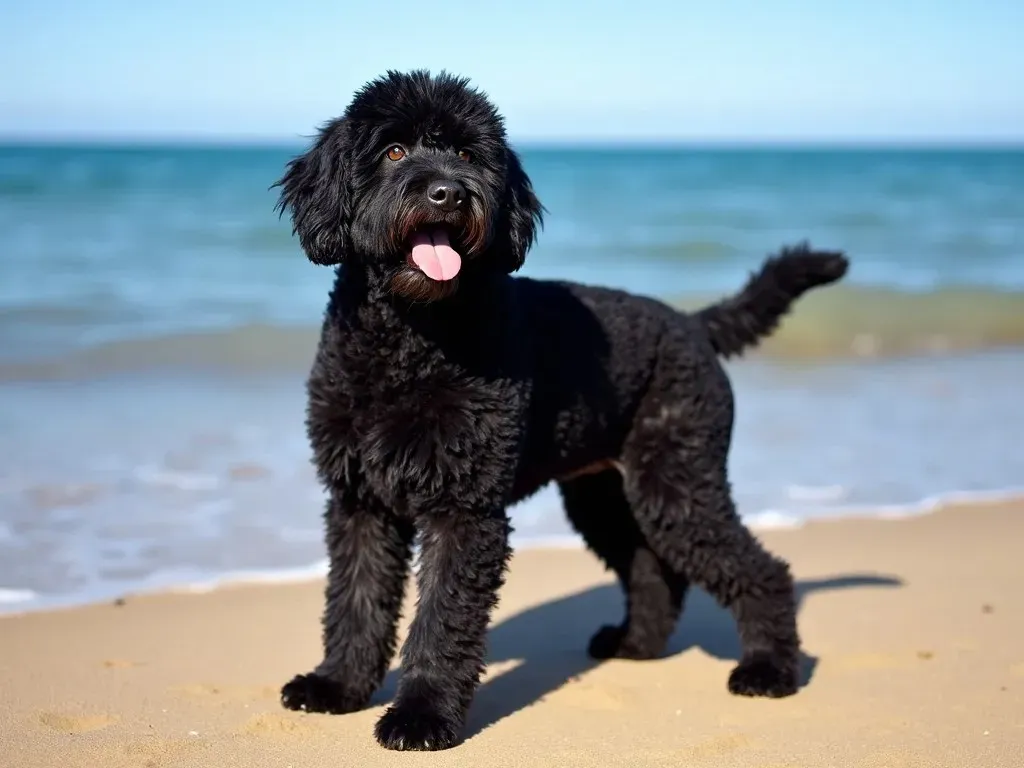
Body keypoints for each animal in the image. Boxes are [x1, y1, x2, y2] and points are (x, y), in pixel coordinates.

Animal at [272, 70, 847, 753]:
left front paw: (421, 715)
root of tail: (692, 325)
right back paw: (635, 644)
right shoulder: (360, 501)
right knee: (652, 571)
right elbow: (355, 602)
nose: (447, 192)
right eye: (392, 151)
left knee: (761, 570)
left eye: (466, 153)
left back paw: (769, 669)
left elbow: (442, 619)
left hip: (678, 484)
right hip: (604, 494)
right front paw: (336, 687)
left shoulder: (464, 509)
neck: (413, 340)